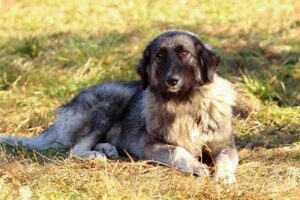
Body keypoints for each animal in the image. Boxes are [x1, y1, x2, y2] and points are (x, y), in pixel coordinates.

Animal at [0, 30, 239, 184]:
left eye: (184, 53)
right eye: (160, 56)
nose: (172, 80)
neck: (184, 103)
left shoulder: (223, 143)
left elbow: (226, 158)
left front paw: (224, 175)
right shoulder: (149, 144)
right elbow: (177, 150)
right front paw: (196, 165)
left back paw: (108, 149)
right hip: (115, 98)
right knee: (76, 148)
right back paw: (97, 154)